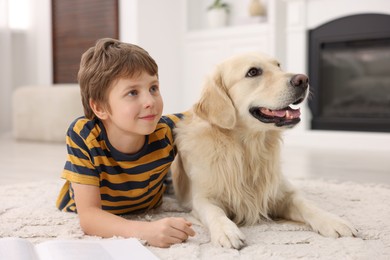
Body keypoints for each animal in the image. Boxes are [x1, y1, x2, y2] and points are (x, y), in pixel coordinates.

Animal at [171, 51, 356, 249]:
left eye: (278, 65)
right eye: (253, 72)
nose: (303, 79)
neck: (247, 149)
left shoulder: (283, 193)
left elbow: (307, 205)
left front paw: (333, 221)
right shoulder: (202, 198)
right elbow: (214, 212)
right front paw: (227, 231)